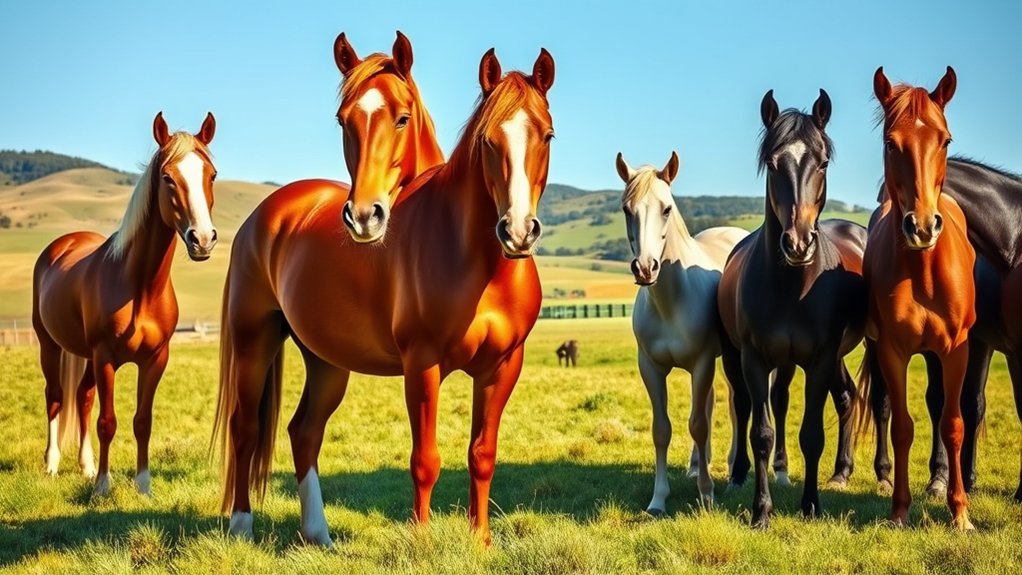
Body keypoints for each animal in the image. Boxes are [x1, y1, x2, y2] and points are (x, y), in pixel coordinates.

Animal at [32, 112, 218, 497]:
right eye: (168, 177)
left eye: (211, 175)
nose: (203, 239)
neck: (140, 289)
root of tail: (62, 244)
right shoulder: (106, 357)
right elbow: (108, 421)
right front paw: (104, 486)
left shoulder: (156, 360)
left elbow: (142, 420)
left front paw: (143, 485)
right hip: (49, 345)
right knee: (56, 396)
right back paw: (53, 464)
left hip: (85, 356)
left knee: (83, 397)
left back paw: (86, 467)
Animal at [617, 152, 747, 513]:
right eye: (627, 209)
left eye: (666, 208)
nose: (645, 268)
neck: (671, 301)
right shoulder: (650, 367)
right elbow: (662, 429)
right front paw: (658, 499)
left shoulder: (702, 363)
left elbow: (698, 425)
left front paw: (706, 493)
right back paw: (696, 464)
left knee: (734, 405)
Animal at [718, 89, 869, 527]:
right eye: (772, 163)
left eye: (823, 162)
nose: (798, 243)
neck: (792, 287)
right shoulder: (753, 357)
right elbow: (761, 432)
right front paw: (761, 510)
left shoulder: (820, 357)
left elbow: (812, 433)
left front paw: (811, 505)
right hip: (741, 356)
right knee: (748, 405)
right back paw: (742, 475)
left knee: (851, 397)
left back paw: (849, 473)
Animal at [858, 66, 976, 529]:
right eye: (892, 143)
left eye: (945, 140)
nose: (922, 227)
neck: (924, 272)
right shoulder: (891, 350)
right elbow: (903, 427)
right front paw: (899, 510)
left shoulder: (957, 350)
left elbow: (953, 423)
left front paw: (960, 512)